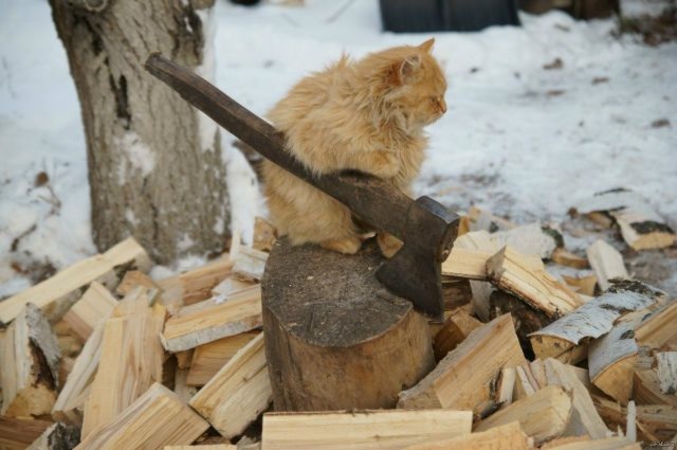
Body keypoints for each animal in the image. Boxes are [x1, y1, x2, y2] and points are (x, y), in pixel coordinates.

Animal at [262, 37, 446, 256]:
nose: (445, 109)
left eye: (443, 96)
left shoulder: (400, 186)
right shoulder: (315, 139)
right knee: (320, 232)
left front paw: (392, 246)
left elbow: (395, 221)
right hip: (319, 205)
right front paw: (387, 163)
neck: (391, 127)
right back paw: (346, 242)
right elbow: (358, 150)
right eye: (434, 99)